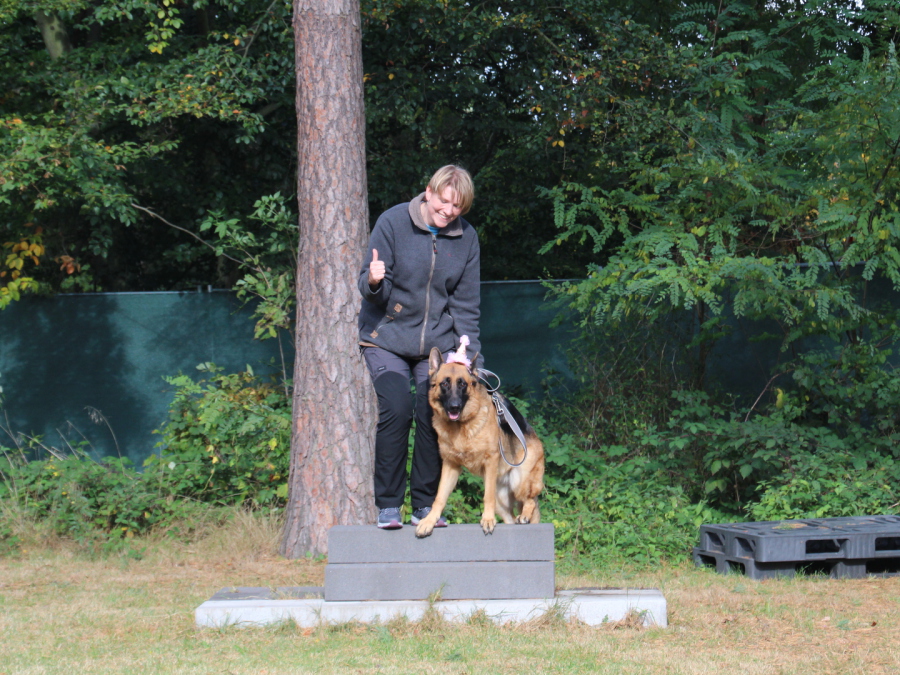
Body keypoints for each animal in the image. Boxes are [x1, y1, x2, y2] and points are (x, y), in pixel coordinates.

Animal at [414, 346, 545, 538]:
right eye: (444, 384)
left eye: (462, 384)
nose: (454, 406)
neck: (461, 426)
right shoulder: (450, 466)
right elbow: (439, 497)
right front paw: (429, 521)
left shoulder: (490, 461)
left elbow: (487, 496)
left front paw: (488, 519)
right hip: (502, 501)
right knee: (511, 519)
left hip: (519, 480)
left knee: (531, 501)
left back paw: (525, 516)